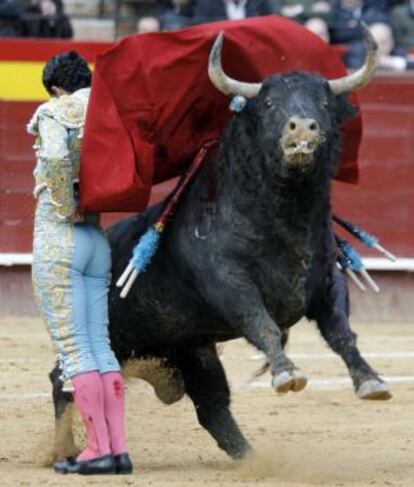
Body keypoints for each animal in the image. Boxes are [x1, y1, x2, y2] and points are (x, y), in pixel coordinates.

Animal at [50, 46, 390, 462]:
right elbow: (262, 323)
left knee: (211, 404)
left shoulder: (327, 283)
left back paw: (250, 459)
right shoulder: (229, 283)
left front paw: (371, 380)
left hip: (191, 350)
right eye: (269, 103)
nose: (302, 129)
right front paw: (286, 373)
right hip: (100, 331)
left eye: (323, 102)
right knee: (65, 377)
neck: (286, 217)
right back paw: (63, 449)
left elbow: (342, 333)